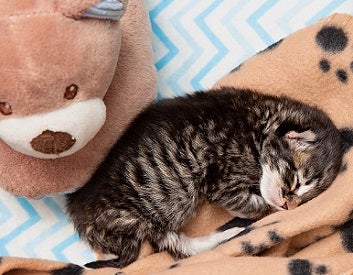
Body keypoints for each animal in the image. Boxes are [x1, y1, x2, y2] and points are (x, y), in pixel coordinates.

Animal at [65, 88, 340, 270]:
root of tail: (78, 215)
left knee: (182, 248)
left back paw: (230, 236)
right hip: (134, 219)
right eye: (294, 179)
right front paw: (263, 209)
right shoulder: (222, 180)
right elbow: (255, 205)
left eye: (305, 200)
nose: (288, 206)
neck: (259, 126)